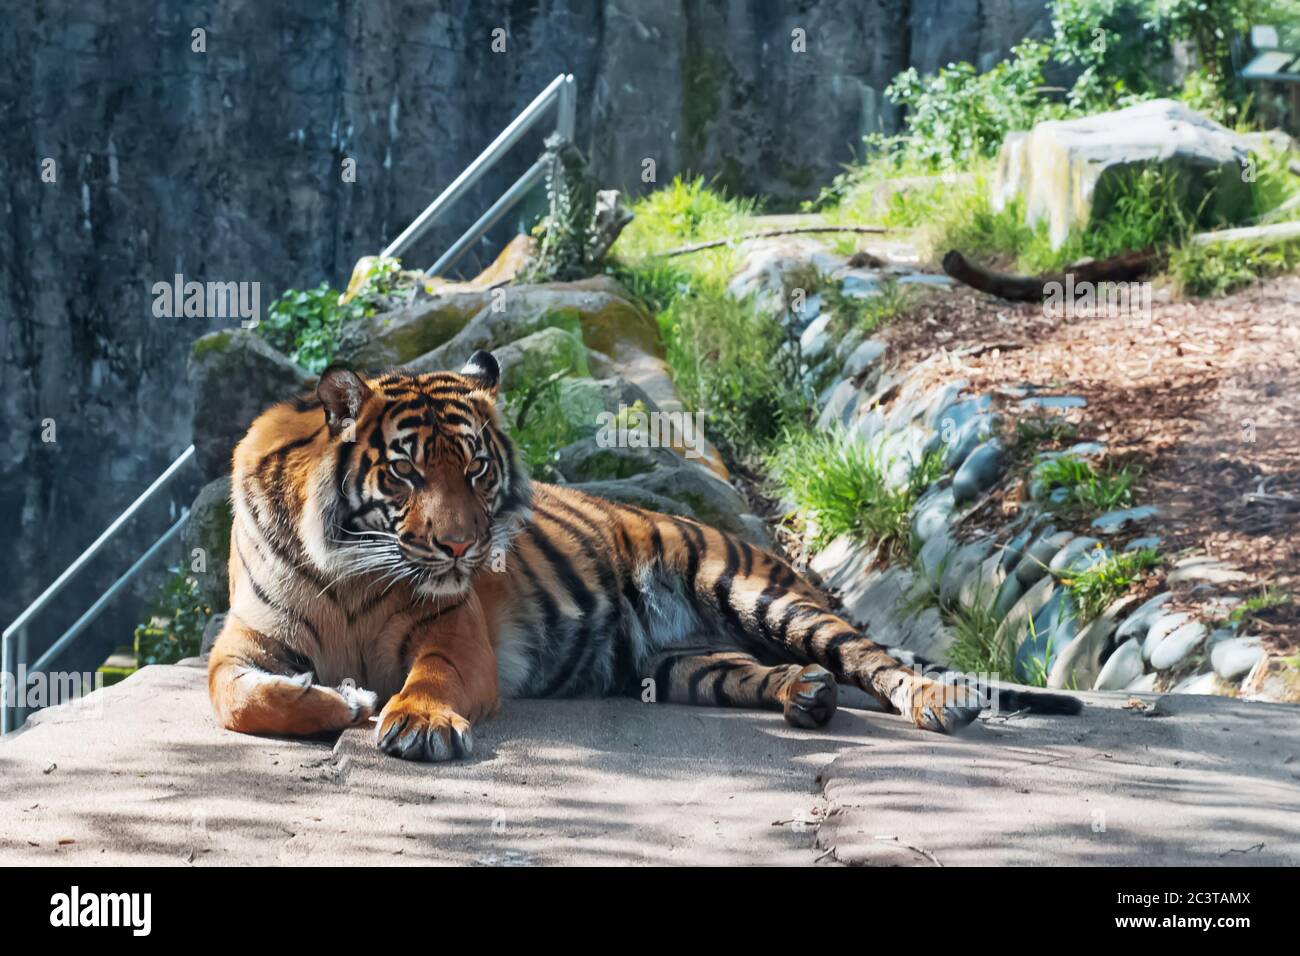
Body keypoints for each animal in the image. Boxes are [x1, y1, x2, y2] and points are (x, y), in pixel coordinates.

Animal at [208, 351, 1081, 764]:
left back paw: (935, 701)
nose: (461, 545)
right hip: (674, 663)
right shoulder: (243, 644)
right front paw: (344, 699)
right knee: (754, 670)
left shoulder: (457, 633)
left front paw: (414, 721)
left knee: (871, 656)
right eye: (407, 473)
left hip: (754, 591)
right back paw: (806, 695)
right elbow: (242, 701)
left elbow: (432, 677)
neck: (348, 572)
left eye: (477, 469)